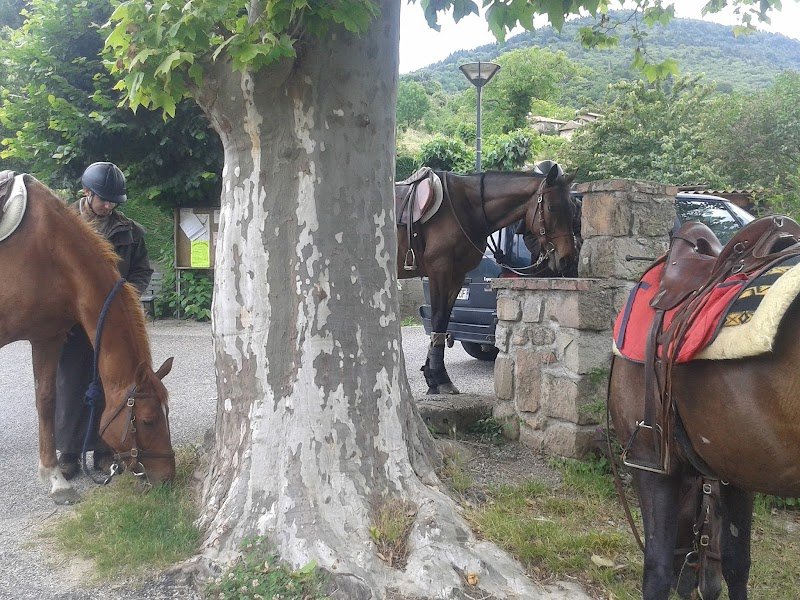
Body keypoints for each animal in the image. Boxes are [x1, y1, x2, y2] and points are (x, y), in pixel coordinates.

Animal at [396, 162, 579, 394]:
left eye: (573, 210)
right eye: (552, 208)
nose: (567, 258)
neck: (465, 207)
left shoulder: (456, 275)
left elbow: (444, 320)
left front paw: (433, 376)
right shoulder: (440, 269)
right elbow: (438, 319)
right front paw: (439, 376)